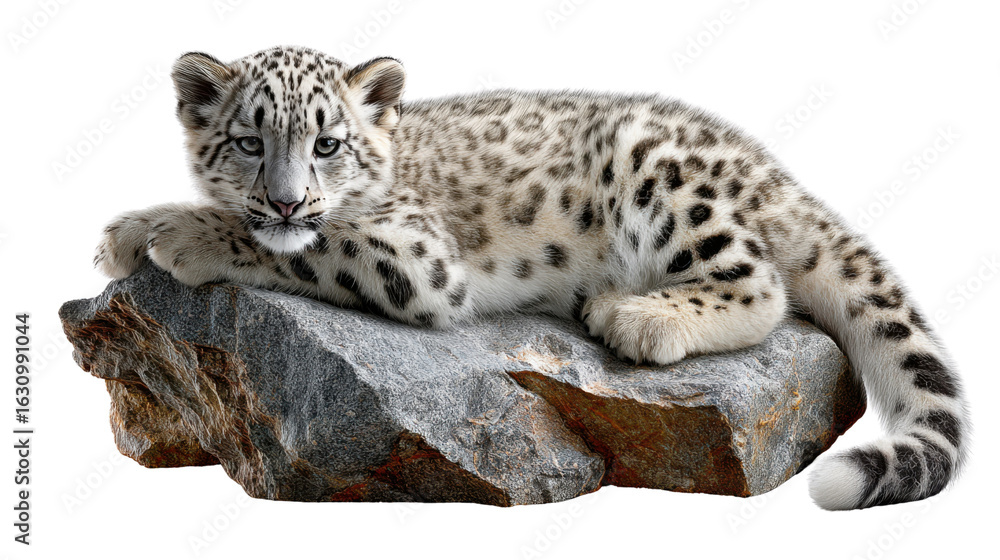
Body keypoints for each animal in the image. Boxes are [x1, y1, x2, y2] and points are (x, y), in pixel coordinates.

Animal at [95, 46, 968, 510]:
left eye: (328, 144)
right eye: (249, 141)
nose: (284, 198)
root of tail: (759, 163)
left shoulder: (417, 255)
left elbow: (310, 243)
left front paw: (183, 234)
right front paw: (129, 230)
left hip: (665, 185)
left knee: (763, 287)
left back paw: (638, 315)